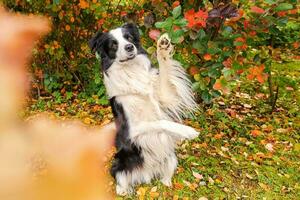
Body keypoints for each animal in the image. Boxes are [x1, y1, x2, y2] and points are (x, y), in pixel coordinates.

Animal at [90, 23, 200, 195]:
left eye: (128, 37)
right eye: (114, 44)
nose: (129, 47)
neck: (130, 70)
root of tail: (146, 174)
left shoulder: (165, 97)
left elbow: (165, 73)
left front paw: (163, 48)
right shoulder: (131, 129)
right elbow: (160, 122)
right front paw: (187, 131)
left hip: (171, 158)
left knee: (165, 176)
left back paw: (166, 183)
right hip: (119, 164)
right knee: (120, 180)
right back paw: (123, 190)